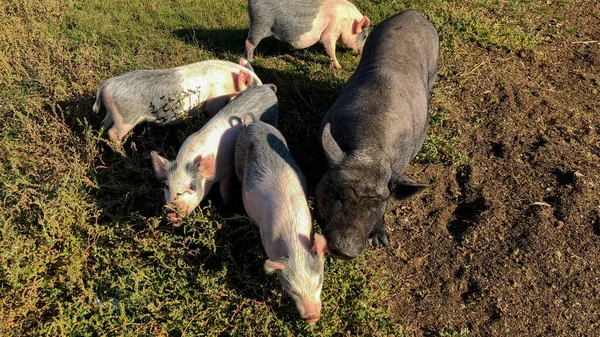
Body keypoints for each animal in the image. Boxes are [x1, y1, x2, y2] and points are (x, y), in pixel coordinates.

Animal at [92, 58, 262, 144]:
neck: (228, 83)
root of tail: (107, 84)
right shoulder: (215, 101)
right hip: (126, 118)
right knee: (113, 132)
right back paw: (120, 148)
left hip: (113, 112)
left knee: (104, 123)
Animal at [150, 83, 276, 223]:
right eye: (167, 186)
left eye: (192, 187)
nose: (172, 213)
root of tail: (266, 88)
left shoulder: (227, 170)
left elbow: (224, 190)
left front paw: (225, 207)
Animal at [314, 9, 440, 258]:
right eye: (338, 194)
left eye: (377, 204)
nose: (346, 251)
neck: (369, 149)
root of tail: (414, 13)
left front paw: (381, 242)